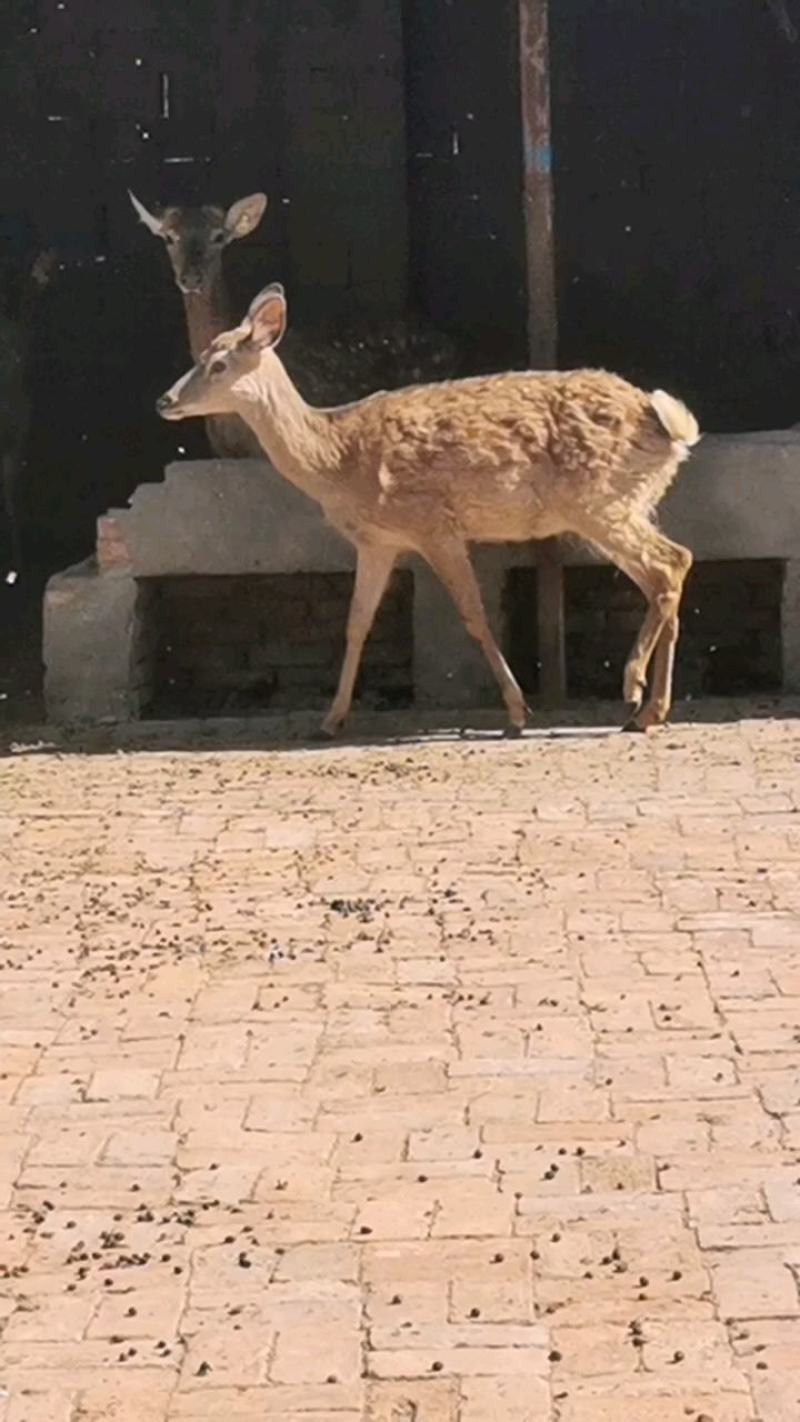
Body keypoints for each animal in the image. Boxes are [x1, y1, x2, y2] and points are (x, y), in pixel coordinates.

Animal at [157, 283, 700, 738]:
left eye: (219, 364)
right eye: (202, 355)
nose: (165, 399)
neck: (338, 459)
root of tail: (672, 427)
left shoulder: (433, 525)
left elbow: (474, 616)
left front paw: (517, 713)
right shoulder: (378, 540)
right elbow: (356, 624)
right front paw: (330, 720)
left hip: (598, 499)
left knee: (668, 564)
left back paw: (633, 690)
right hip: (616, 503)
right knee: (672, 567)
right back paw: (649, 711)